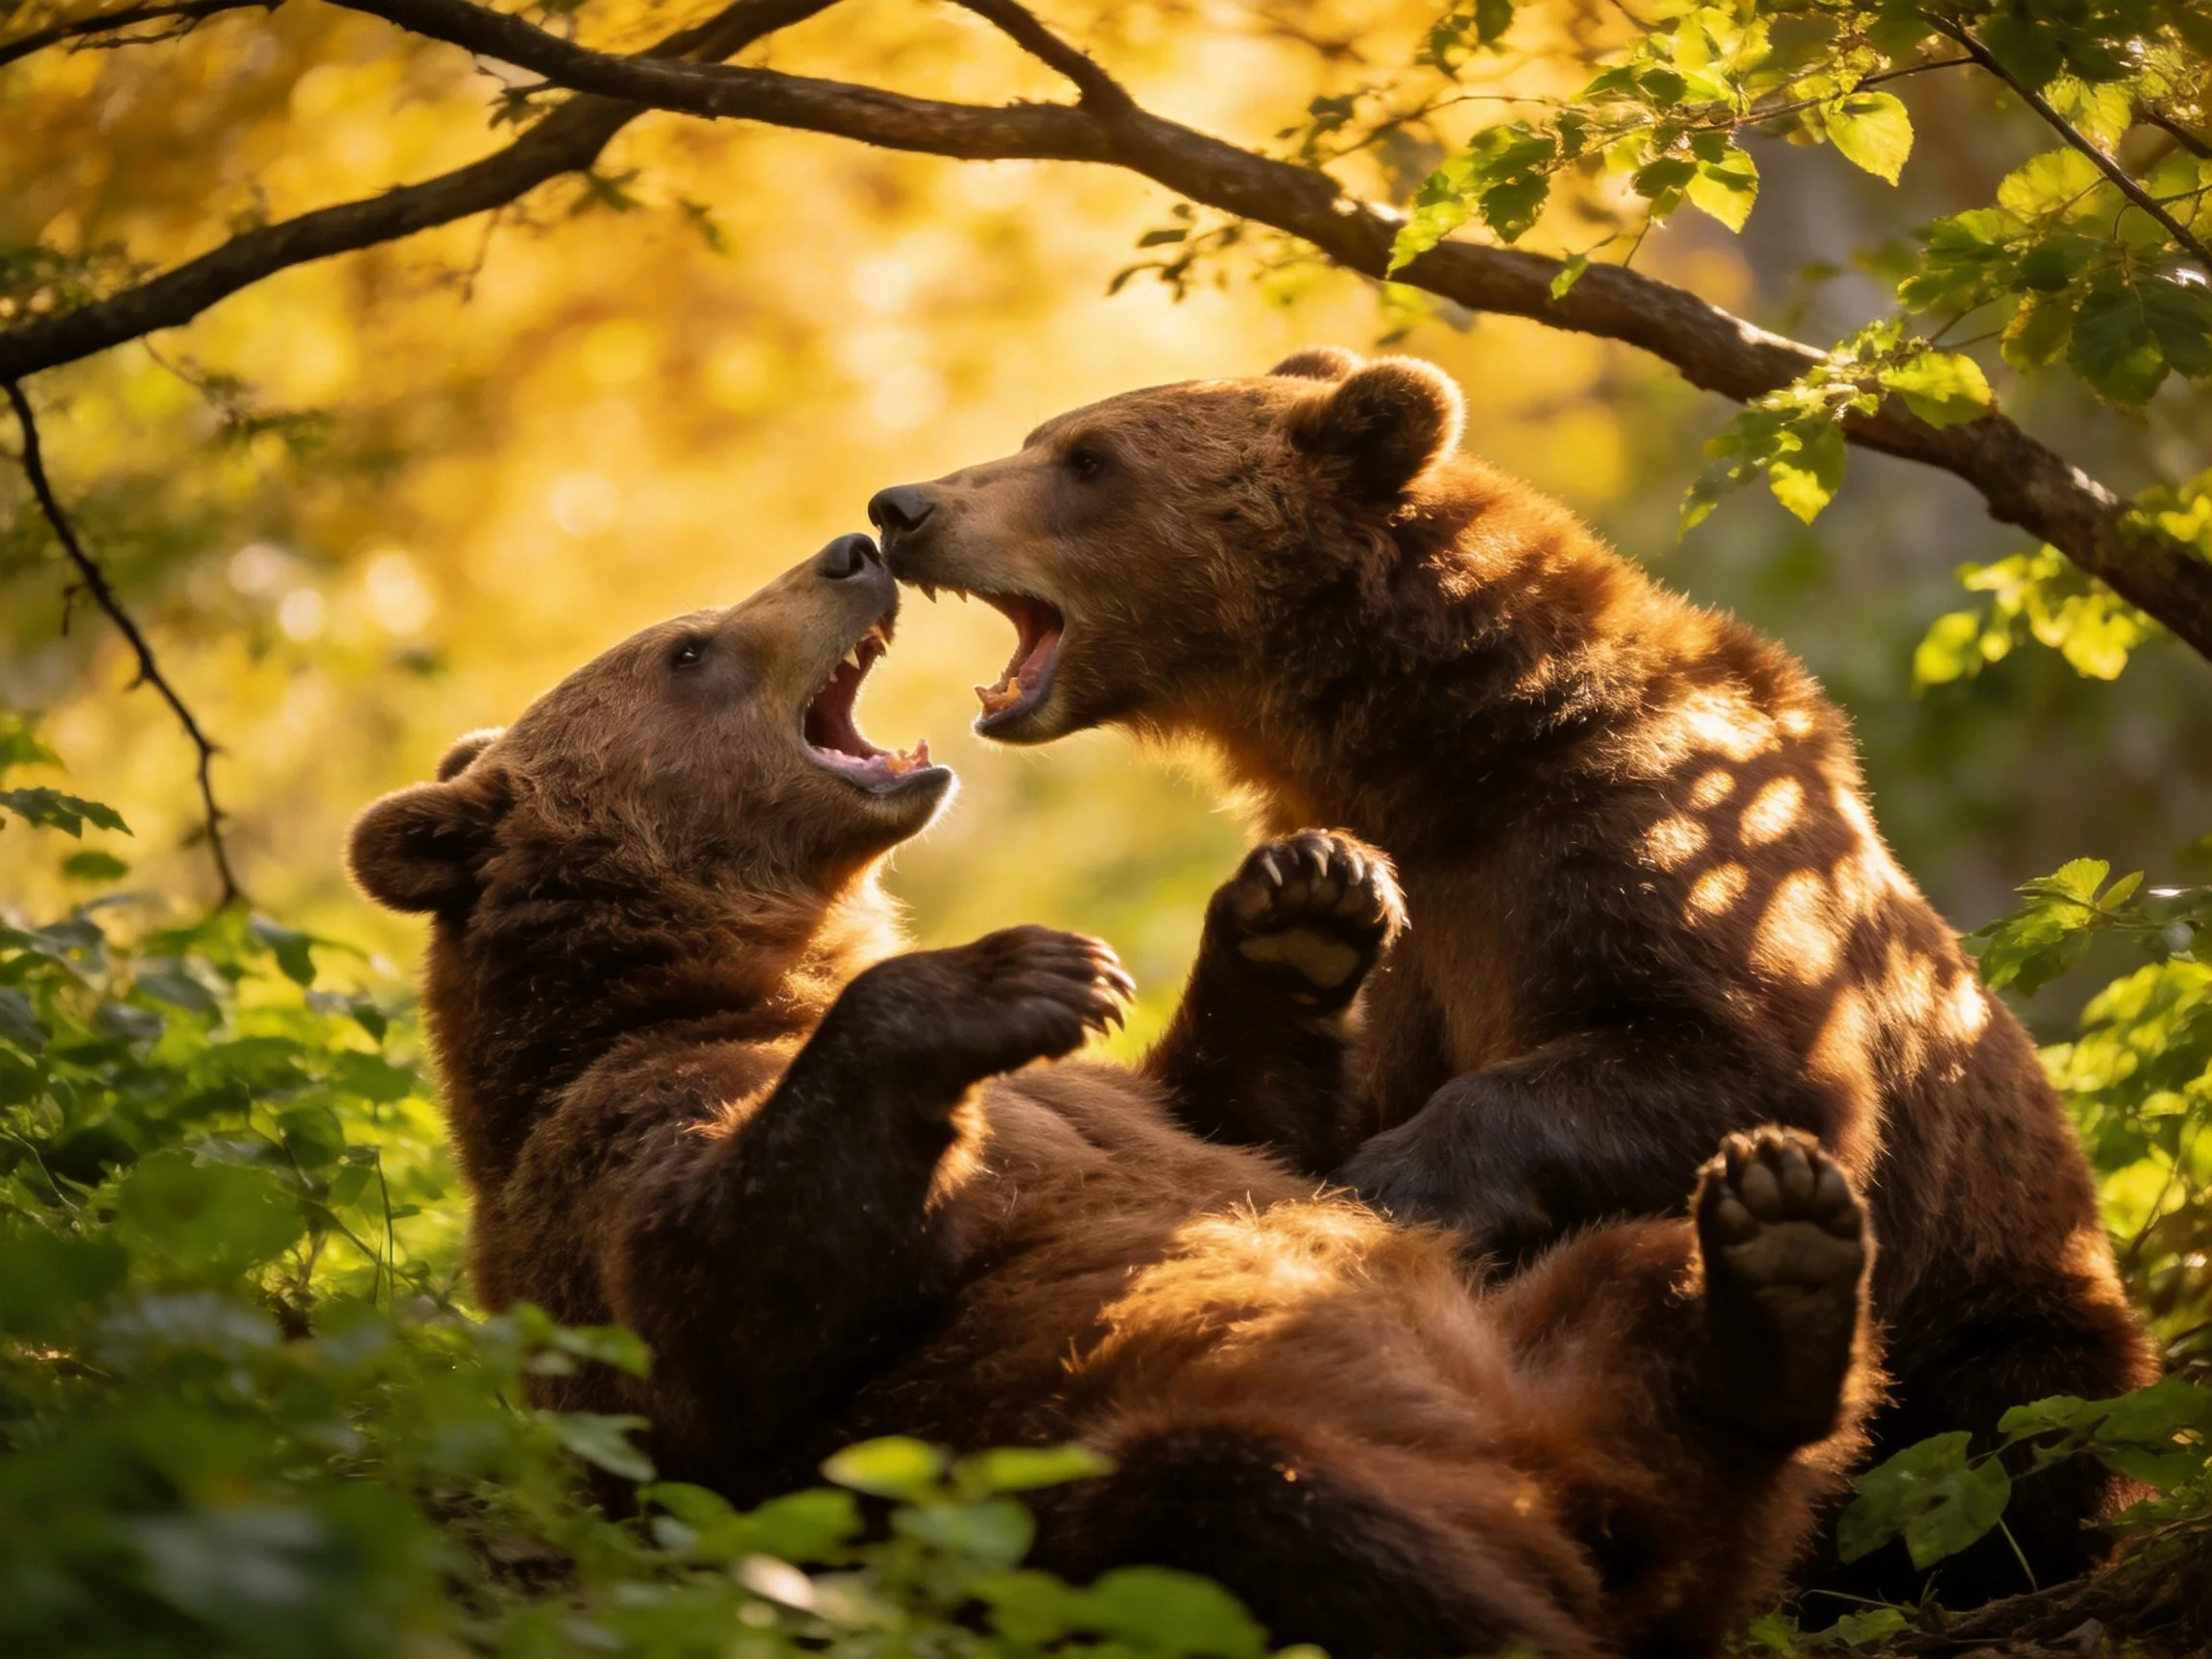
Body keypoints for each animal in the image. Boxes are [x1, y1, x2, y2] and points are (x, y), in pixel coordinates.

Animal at [347, 532, 1881, 1658]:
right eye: (688, 648)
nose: (851, 549)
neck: (731, 975)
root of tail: (1572, 1507)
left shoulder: (1148, 1116)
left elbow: (1247, 1122)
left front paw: (1303, 899)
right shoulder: (611, 1143)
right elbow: (713, 1323)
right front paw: (1023, 968)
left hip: (1556, 1353)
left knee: (1651, 1302)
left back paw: (1777, 1262)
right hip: (1127, 1482)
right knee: (1252, 1498)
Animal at [866, 354, 2161, 1605]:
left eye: (1089, 459)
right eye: (1045, 439)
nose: (904, 508)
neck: (1449, 747)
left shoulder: (1647, 839)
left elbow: (1747, 1057)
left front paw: (1403, 1177)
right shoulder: (1417, 926)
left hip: (2008, 1307)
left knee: (2009, 1425)